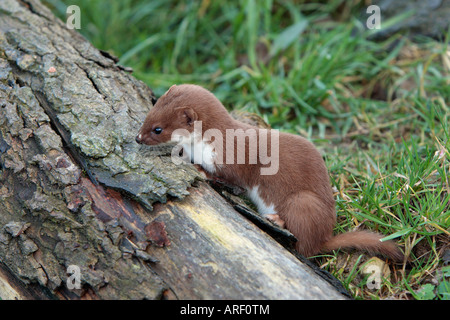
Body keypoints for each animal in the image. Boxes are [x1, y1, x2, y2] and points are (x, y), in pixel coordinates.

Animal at [136, 84, 404, 262]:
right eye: (149, 112)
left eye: (158, 129)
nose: (137, 138)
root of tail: (326, 235)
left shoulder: (233, 160)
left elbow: (230, 178)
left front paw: (199, 169)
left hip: (303, 201)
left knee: (305, 244)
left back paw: (276, 219)